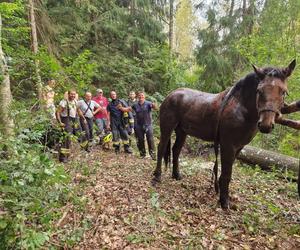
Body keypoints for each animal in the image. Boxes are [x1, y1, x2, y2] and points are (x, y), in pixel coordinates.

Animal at [154, 60, 296, 209]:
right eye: (259, 90)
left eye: (284, 92)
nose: (265, 125)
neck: (241, 108)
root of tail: (171, 94)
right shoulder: (228, 145)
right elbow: (227, 173)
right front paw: (224, 202)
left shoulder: (238, 147)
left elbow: (226, 172)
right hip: (167, 128)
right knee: (161, 148)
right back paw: (157, 176)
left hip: (182, 132)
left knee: (176, 151)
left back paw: (176, 175)